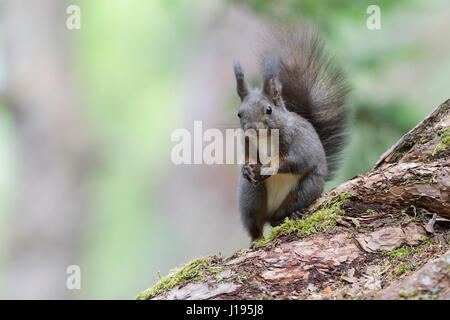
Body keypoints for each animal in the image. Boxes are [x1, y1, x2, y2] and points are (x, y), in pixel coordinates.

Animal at [234, 25, 350, 242]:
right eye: (239, 113)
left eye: (268, 110)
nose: (251, 128)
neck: (266, 137)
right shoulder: (247, 143)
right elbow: (247, 158)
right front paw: (246, 169)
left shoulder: (298, 142)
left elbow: (297, 161)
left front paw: (266, 168)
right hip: (251, 197)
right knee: (258, 223)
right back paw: (256, 239)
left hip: (307, 188)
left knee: (282, 215)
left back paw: (292, 214)